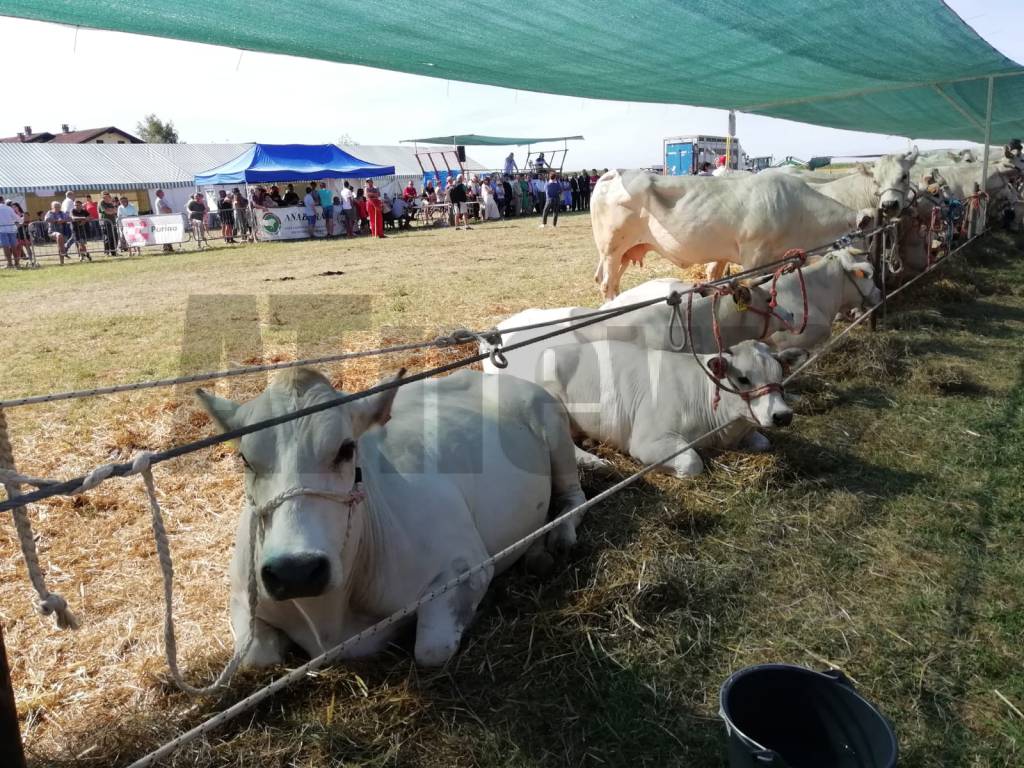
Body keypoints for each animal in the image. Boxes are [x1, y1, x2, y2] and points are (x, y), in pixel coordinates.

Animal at [197, 366, 585, 667]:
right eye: (245, 459)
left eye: (346, 449)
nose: (296, 570)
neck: (327, 619)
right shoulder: (240, 596)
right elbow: (256, 657)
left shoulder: (467, 564)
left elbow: (432, 649)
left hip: (554, 430)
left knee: (574, 498)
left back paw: (554, 541)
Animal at [540, 342, 811, 475]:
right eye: (743, 379)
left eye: (780, 374)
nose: (782, 415)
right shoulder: (648, 440)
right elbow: (692, 463)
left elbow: (764, 442)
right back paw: (593, 461)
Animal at [593, 171, 872, 301]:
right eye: (866, 238)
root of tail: (613, 173)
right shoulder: (754, 255)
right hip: (611, 249)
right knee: (606, 284)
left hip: (626, 252)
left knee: (614, 283)